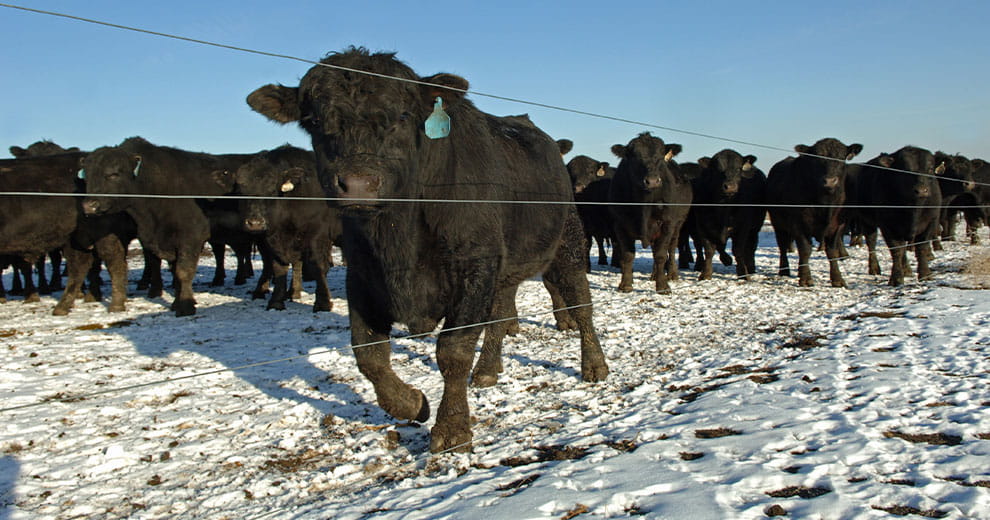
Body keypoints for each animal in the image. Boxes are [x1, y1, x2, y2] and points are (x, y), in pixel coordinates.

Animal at [216, 145, 336, 312]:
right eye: (240, 192)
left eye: (272, 191)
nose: (255, 223)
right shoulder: (273, 240)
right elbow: (279, 268)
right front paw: (276, 302)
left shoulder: (318, 235)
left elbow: (318, 266)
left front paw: (323, 303)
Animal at [246, 46, 608, 453]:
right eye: (314, 120)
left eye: (403, 116)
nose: (358, 183)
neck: (398, 240)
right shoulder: (362, 274)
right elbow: (369, 355)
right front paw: (412, 403)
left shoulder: (473, 267)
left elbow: (453, 350)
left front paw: (452, 428)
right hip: (505, 265)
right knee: (500, 313)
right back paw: (487, 370)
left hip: (568, 243)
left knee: (581, 303)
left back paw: (594, 365)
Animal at [608, 133, 693, 293]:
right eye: (635, 157)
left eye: (660, 156)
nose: (652, 181)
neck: (644, 205)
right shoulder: (619, 224)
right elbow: (628, 255)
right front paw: (625, 284)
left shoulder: (667, 223)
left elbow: (661, 254)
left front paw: (663, 286)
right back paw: (654, 275)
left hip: (678, 223)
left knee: (671, 248)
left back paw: (671, 274)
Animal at [687, 150, 767, 281]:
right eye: (717, 169)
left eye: (739, 169)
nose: (730, 187)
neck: (724, 208)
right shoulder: (703, 226)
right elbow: (709, 250)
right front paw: (705, 274)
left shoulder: (743, 226)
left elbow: (738, 250)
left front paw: (743, 273)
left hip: (755, 228)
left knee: (751, 247)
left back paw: (750, 267)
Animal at [766, 138, 863, 287]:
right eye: (817, 158)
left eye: (841, 158)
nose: (830, 181)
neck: (825, 204)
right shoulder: (798, 224)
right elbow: (805, 250)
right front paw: (806, 279)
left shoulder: (838, 225)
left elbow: (832, 251)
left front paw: (837, 279)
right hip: (778, 224)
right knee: (782, 246)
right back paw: (784, 270)